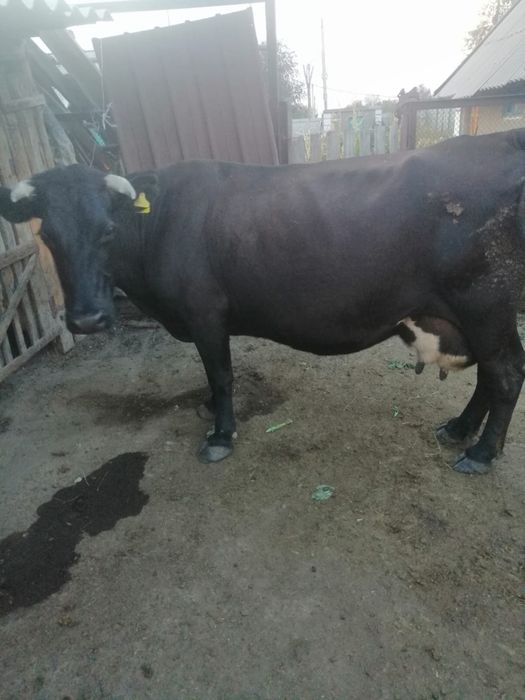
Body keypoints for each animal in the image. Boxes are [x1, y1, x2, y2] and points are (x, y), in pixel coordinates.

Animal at [1, 129, 525, 475]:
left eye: (108, 230)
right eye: (47, 235)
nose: (87, 319)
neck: (160, 223)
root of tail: (498, 141)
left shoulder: (205, 312)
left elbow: (221, 373)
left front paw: (220, 435)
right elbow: (211, 376)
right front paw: (210, 410)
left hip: (486, 304)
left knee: (504, 372)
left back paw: (479, 454)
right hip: (477, 314)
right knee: (489, 373)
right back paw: (459, 429)